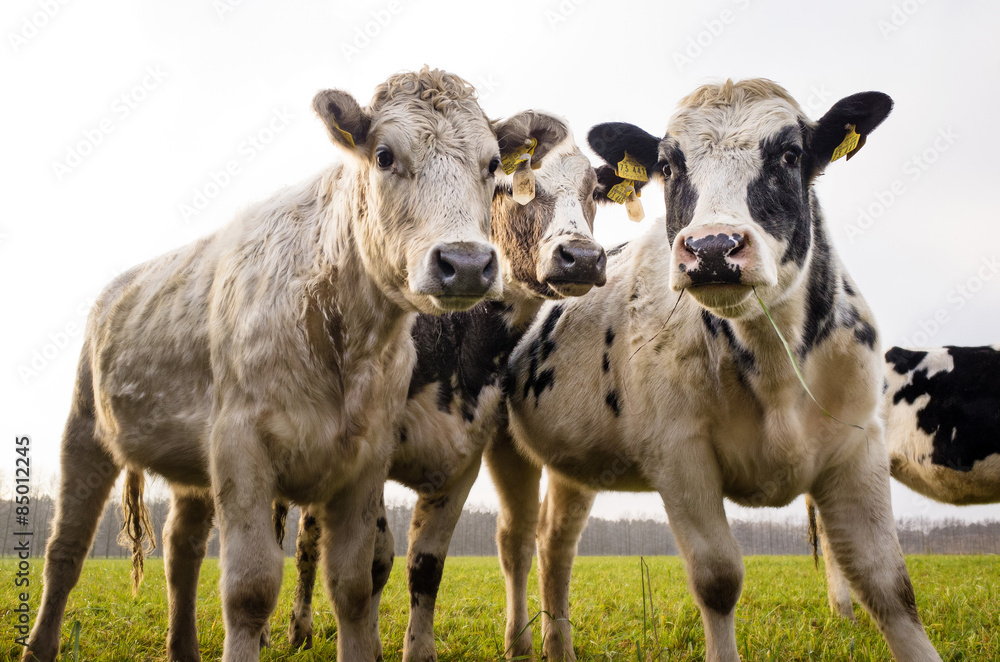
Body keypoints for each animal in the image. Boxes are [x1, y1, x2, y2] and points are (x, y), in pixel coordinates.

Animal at [22, 68, 504, 662]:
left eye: (493, 164)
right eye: (385, 155)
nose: (466, 263)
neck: (345, 337)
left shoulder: (368, 459)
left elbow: (352, 586)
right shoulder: (242, 445)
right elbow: (250, 588)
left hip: (191, 463)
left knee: (181, 551)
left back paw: (183, 649)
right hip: (84, 429)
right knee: (65, 548)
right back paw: (39, 645)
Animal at [272, 110, 609, 662]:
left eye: (594, 191)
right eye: (511, 186)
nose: (580, 257)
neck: (456, 345)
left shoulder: (464, 461)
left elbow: (424, 566)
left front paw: (413, 648)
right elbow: (374, 560)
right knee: (297, 539)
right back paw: (291, 629)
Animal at [489, 79, 944, 662]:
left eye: (790, 154)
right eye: (668, 165)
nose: (710, 248)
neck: (773, 369)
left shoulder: (859, 444)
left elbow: (888, 584)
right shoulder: (677, 454)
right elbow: (718, 578)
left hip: (575, 458)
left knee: (556, 542)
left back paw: (559, 647)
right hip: (501, 441)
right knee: (516, 540)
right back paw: (519, 642)